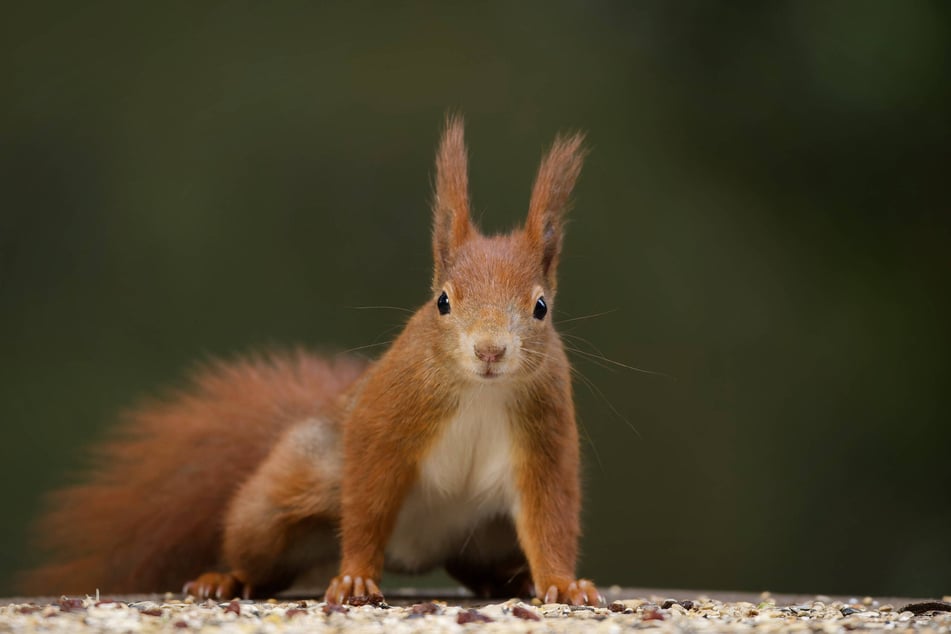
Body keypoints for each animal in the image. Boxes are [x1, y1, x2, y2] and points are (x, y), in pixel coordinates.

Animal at [21, 116, 602, 607]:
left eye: (540, 307)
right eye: (442, 301)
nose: (489, 350)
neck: (482, 390)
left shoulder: (545, 435)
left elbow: (549, 516)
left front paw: (561, 583)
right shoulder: (383, 420)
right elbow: (367, 501)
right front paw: (356, 578)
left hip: (487, 536)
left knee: (480, 566)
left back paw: (514, 579)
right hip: (280, 500)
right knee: (262, 553)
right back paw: (225, 579)